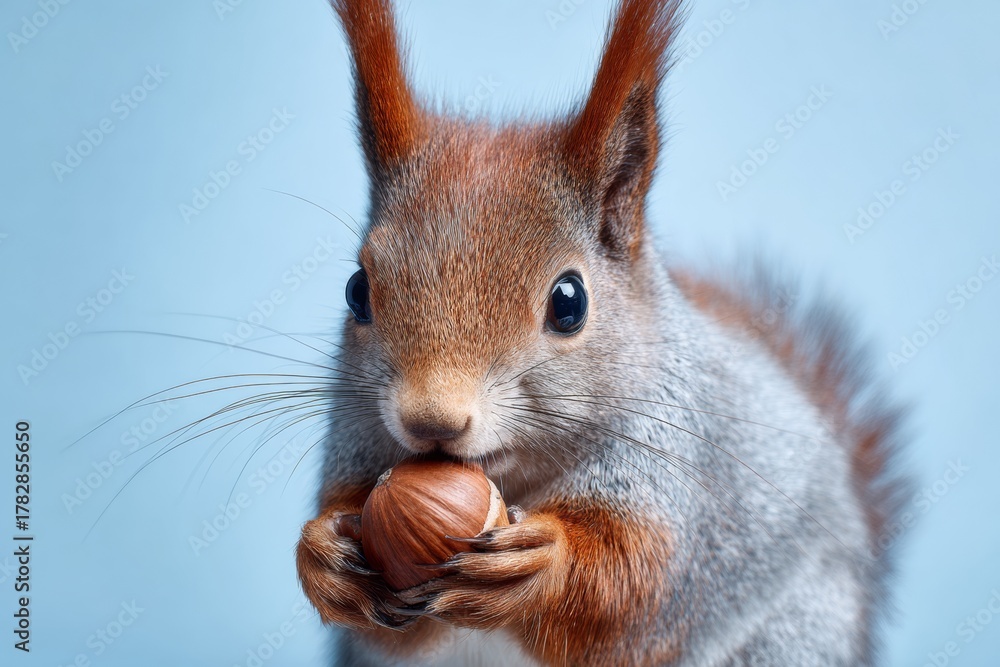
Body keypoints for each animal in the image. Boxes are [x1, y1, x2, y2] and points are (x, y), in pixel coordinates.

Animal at [295, 0, 907, 665]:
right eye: (357, 290)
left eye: (570, 302)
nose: (432, 421)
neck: (515, 477)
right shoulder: (357, 443)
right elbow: (396, 625)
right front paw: (323, 555)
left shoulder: (674, 475)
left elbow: (633, 581)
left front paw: (542, 565)